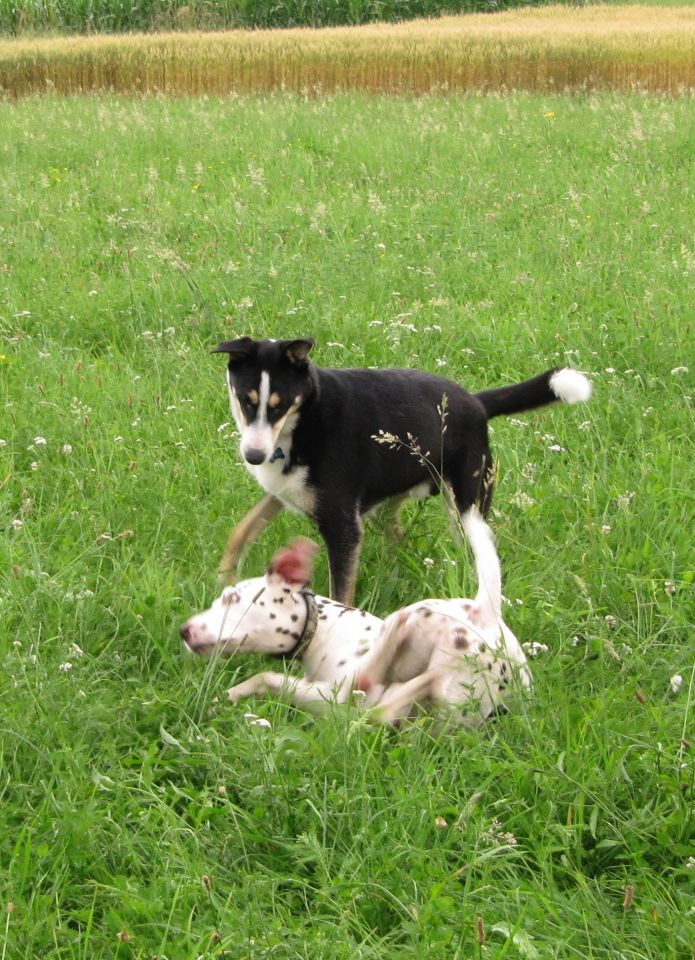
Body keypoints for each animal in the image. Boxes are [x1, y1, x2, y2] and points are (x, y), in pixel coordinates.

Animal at [179, 540, 386, 712]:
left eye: (232, 597)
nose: (183, 631)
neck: (325, 631)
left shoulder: (339, 701)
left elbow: (263, 677)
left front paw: (224, 698)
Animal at [213, 338, 592, 604]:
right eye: (246, 401)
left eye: (279, 406)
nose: (254, 456)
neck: (303, 418)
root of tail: (476, 402)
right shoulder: (282, 490)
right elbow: (241, 530)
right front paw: (223, 579)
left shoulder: (342, 524)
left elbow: (341, 591)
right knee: (398, 533)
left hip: (465, 502)